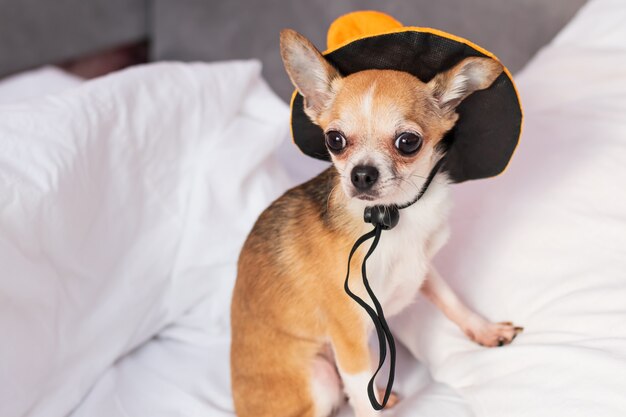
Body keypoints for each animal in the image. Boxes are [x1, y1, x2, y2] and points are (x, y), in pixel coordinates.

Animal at [229, 30, 520, 416]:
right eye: (334, 140)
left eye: (408, 142)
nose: (361, 174)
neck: (388, 219)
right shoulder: (349, 338)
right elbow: (362, 400)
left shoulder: (422, 269)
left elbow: (451, 300)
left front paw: (484, 330)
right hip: (320, 375)